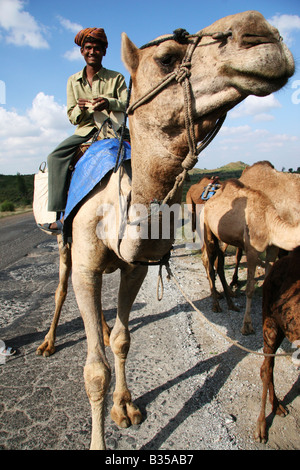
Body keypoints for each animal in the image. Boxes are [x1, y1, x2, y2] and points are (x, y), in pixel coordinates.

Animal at [202, 178, 300, 336]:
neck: (269, 221)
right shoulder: (252, 250)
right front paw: (247, 326)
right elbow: (250, 289)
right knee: (209, 263)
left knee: (219, 263)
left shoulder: (272, 249)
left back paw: (231, 303)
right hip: (207, 228)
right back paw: (216, 305)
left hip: (221, 237)